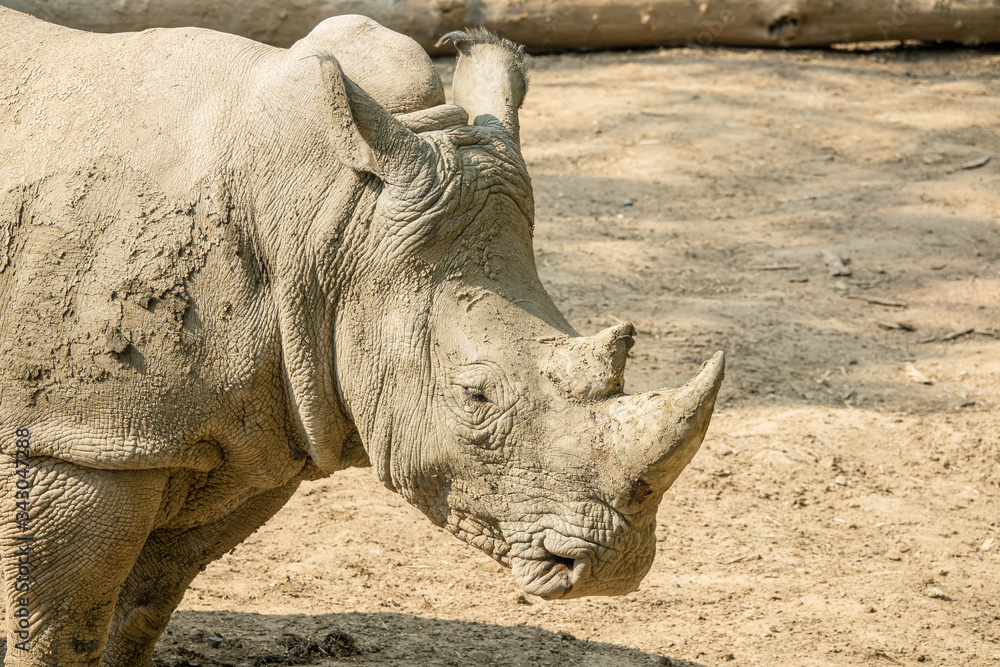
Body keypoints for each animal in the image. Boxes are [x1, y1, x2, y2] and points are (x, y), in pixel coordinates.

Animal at [0, 8, 723, 665]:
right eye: (475, 396)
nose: (613, 565)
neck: (331, 219)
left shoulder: (253, 437)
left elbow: (141, 609)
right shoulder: (76, 440)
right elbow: (61, 631)